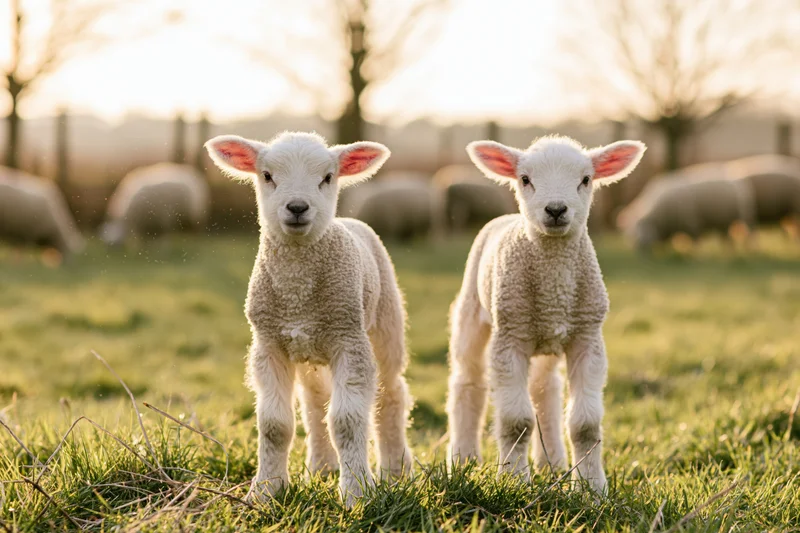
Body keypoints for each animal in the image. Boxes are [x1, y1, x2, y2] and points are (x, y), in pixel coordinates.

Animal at [204, 132, 414, 507]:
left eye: (327, 177)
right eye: (267, 175)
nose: (298, 207)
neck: (297, 294)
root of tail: (348, 220)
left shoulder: (350, 341)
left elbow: (346, 422)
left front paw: (357, 493)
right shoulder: (269, 345)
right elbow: (274, 425)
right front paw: (266, 491)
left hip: (385, 325)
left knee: (391, 395)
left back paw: (396, 471)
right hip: (309, 352)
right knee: (315, 403)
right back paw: (321, 467)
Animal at [447, 135, 646, 494]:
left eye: (586, 179)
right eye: (525, 179)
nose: (555, 209)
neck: (554, 288)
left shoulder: (587, 339)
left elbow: (585, 425)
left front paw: (592, 489)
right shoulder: (509, 340)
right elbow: (516, 422)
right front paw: (513, 481)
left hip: (545, 339)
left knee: (545, 391)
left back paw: (552, 463)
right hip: (473, 311)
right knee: (467, 382)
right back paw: (463, 460)